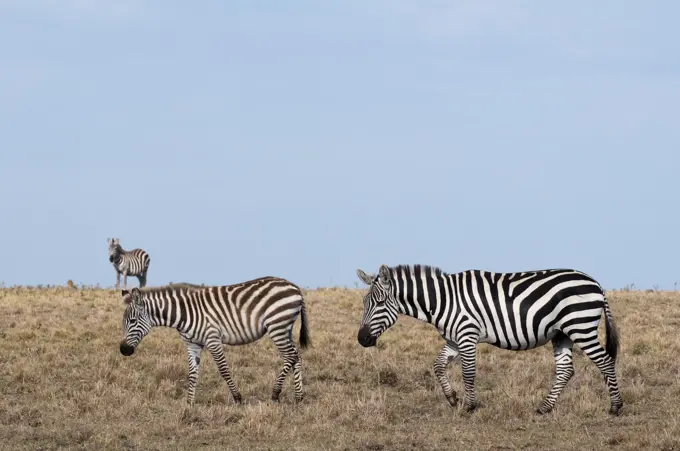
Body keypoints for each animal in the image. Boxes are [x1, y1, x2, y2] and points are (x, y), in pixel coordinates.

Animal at [119, 278, 310, 408]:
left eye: (133, 321)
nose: (123, 350)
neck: (184, 313)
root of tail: (295, 287)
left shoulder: (213, 340)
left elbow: (224, 370)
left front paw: (238, 398)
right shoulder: (192, 345)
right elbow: (192, 373)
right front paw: (189, 404)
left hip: (277, 325)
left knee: (290, 356)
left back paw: (276, 394)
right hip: (284, 328)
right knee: (296, 356)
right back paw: (299, 396)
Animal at [354, 264, 624, 416]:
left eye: (380, 303)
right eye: (365, 302)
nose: (362, 339)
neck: (443, 300)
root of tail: (596, 284)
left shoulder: (467, 334)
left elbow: (469, 372)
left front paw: (470, 406)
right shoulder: (454, 339)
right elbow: (438, 366)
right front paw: (452, 398)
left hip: (581, 327)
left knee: (605, 361)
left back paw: (615, 407)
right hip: (562, 334)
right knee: (566, 370)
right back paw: (544, 408)